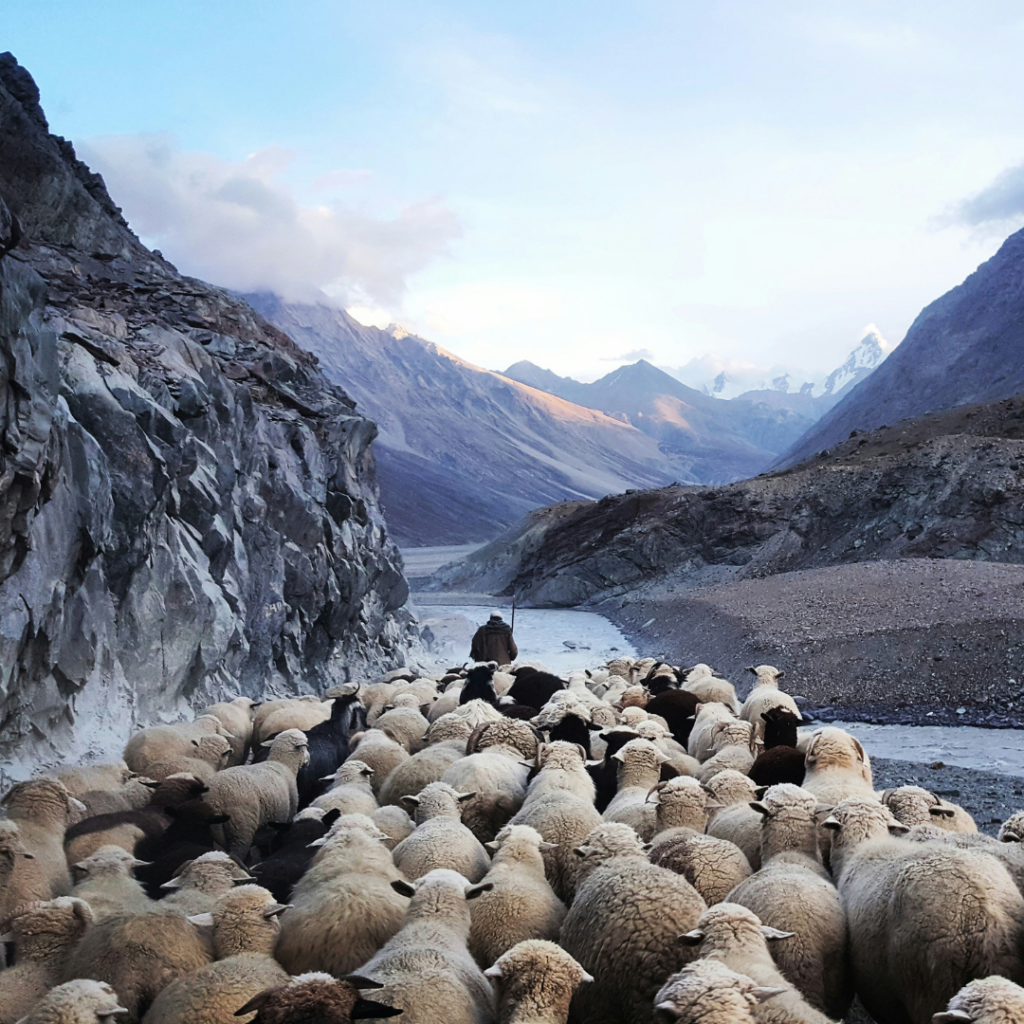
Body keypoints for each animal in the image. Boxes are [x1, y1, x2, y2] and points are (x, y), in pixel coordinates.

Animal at [203, 729, 309, 858]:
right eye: (305, 746)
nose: (309, 760)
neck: (283, 764)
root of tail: (217, 798)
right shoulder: (289, 813)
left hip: (215, 830)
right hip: (241, 826)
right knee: (238, 851)